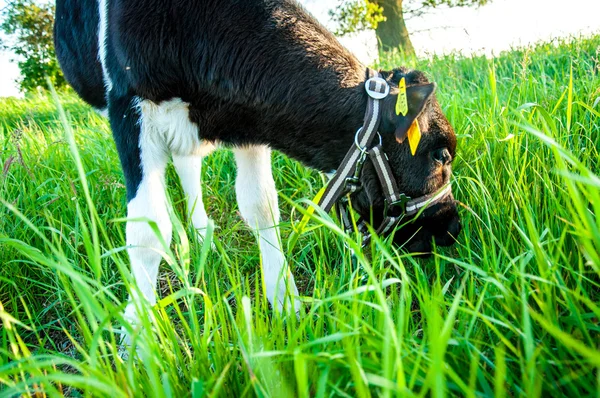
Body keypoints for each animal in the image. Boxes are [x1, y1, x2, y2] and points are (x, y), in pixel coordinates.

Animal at [54, 0, 462, 322]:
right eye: (440, 154)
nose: (453, 226)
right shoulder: (127, 106)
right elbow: (145, 229)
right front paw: (139, 339)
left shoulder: (249, 121)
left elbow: (261, 205)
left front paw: (285, 301)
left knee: (187, 166)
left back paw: (198, 237)